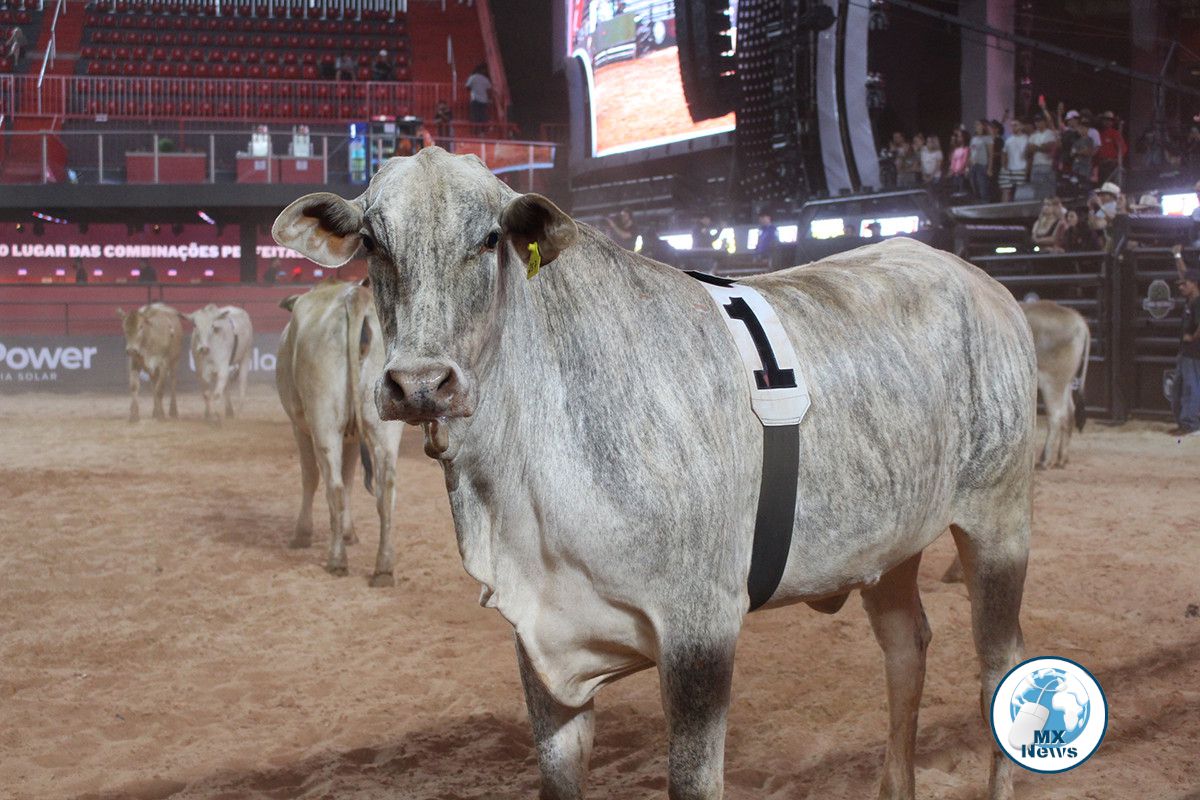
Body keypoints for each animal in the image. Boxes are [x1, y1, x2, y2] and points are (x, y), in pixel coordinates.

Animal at [275, 280, 404, 586]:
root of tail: (356, 296)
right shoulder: (353, 437)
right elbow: (350, 479)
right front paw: (349, 532)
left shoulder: (300, 427)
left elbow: (312, 478)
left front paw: (303, 533)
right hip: (385, 428)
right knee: (385, 489)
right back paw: (383, 567)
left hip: (324, 421)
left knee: (331, 486)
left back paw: (336, 559)